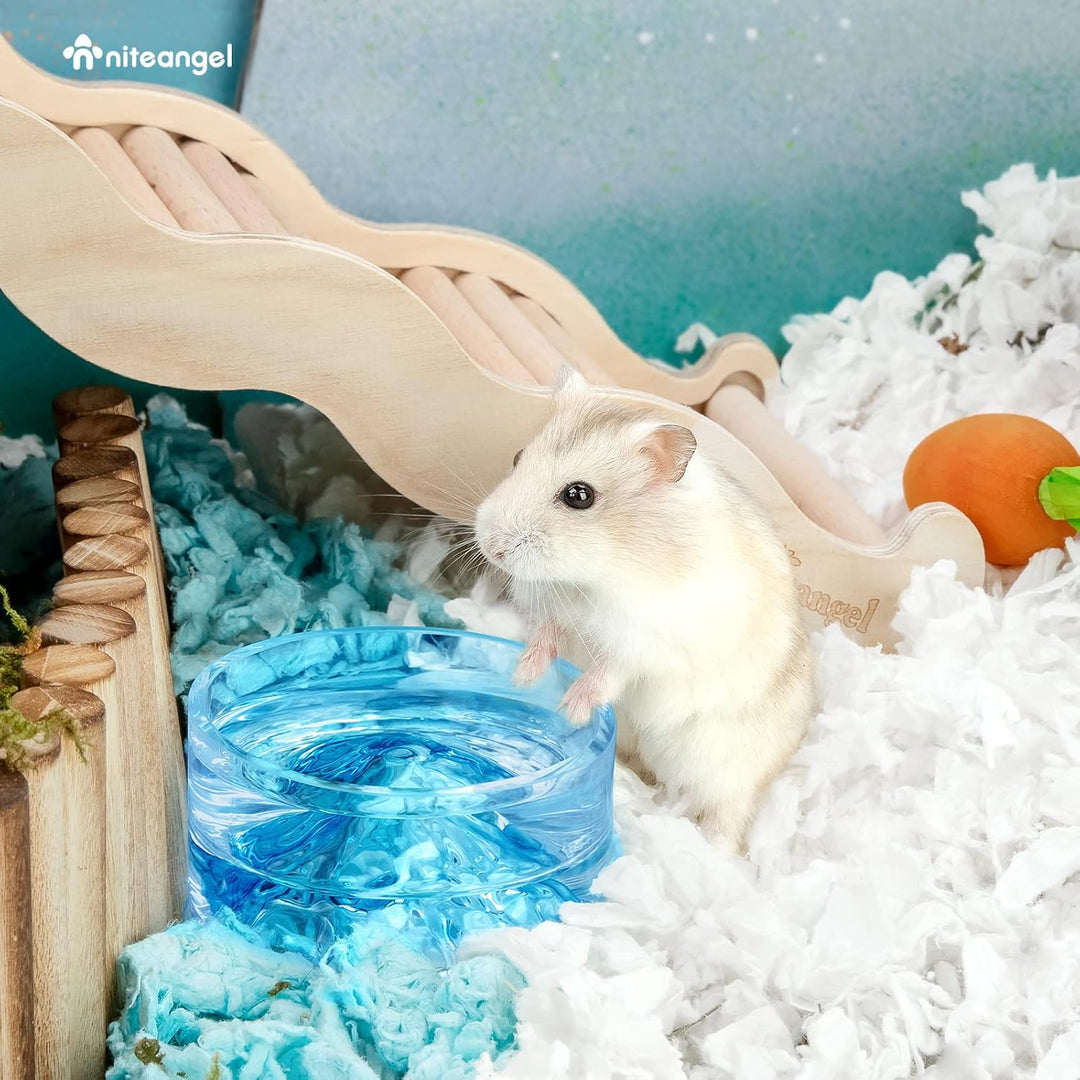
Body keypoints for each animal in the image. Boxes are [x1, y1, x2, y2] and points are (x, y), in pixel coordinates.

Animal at [473, 368, 816, 851]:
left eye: (579, 495)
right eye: (519, 457)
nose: (492, 547)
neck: (596, 575)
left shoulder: (646, 642)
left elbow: (609, 671)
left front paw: (570, 708)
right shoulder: (558, 613)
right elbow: (548, 635)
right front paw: (524, 676)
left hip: (726, 769)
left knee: (730, 815)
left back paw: (712, 851)